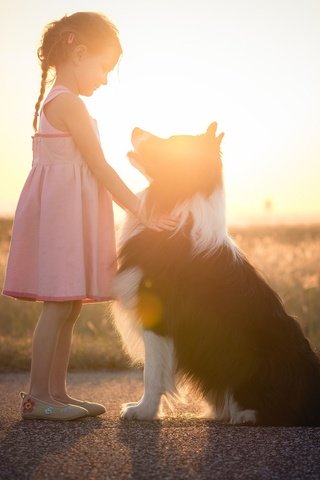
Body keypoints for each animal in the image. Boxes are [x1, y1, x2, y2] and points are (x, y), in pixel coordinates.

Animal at [112, 122, 320, 426]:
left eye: (170, 142)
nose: (136, 128)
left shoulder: (156, 316)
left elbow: (151, 374)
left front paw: (143, 410)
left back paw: (245, 414)